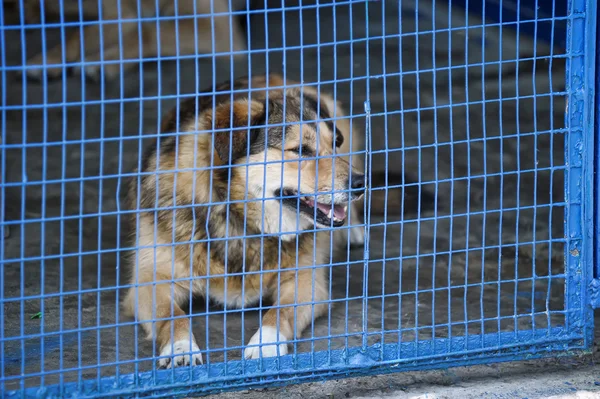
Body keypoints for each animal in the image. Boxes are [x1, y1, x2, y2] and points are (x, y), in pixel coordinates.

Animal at [19, 0, 247, 81]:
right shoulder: (121, 13)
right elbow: (79, 34)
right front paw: (46, 60)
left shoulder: (219, 29)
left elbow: (146, 30)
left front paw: (105, 61)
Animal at [123, 73, 432, 368]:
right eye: (301, 150)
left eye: (334, 144)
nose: (361, 184)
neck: (240, 219)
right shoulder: (149, 281)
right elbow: (171, 317)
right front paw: (181, 348)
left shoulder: (306, 282)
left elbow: (279, 312)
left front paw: (265, 342)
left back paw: (354, 231)